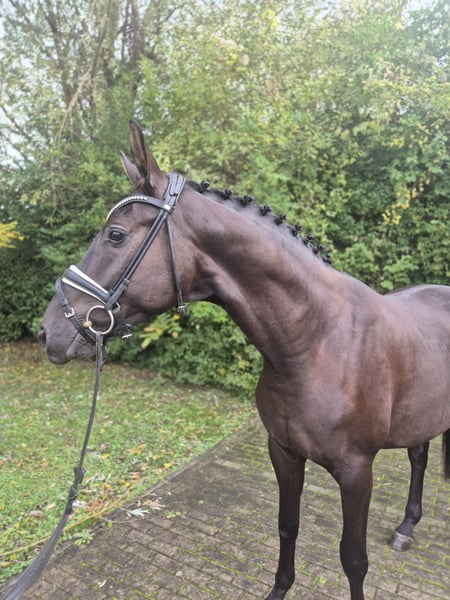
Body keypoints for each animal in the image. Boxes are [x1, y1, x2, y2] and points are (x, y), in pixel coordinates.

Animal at [39, 119, 450, 600]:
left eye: (116, 235)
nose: (50, 331)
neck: (315, 343)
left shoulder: (356, 471)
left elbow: (353, 558)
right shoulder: (284, 452)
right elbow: (287, 526)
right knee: (419, 456)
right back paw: (406, 527)